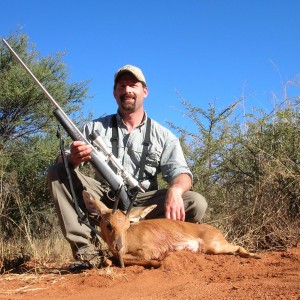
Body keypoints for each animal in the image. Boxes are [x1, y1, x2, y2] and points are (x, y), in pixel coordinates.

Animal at [82, 190, 260, 268]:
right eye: (108, 224)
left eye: (128, 226)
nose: (119, 246)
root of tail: (217, 231)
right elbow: (107, 259)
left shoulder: (148, 251)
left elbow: (137, 258)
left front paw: (157, 262)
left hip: (213, 246)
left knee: (238, 247)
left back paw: (255, 256)